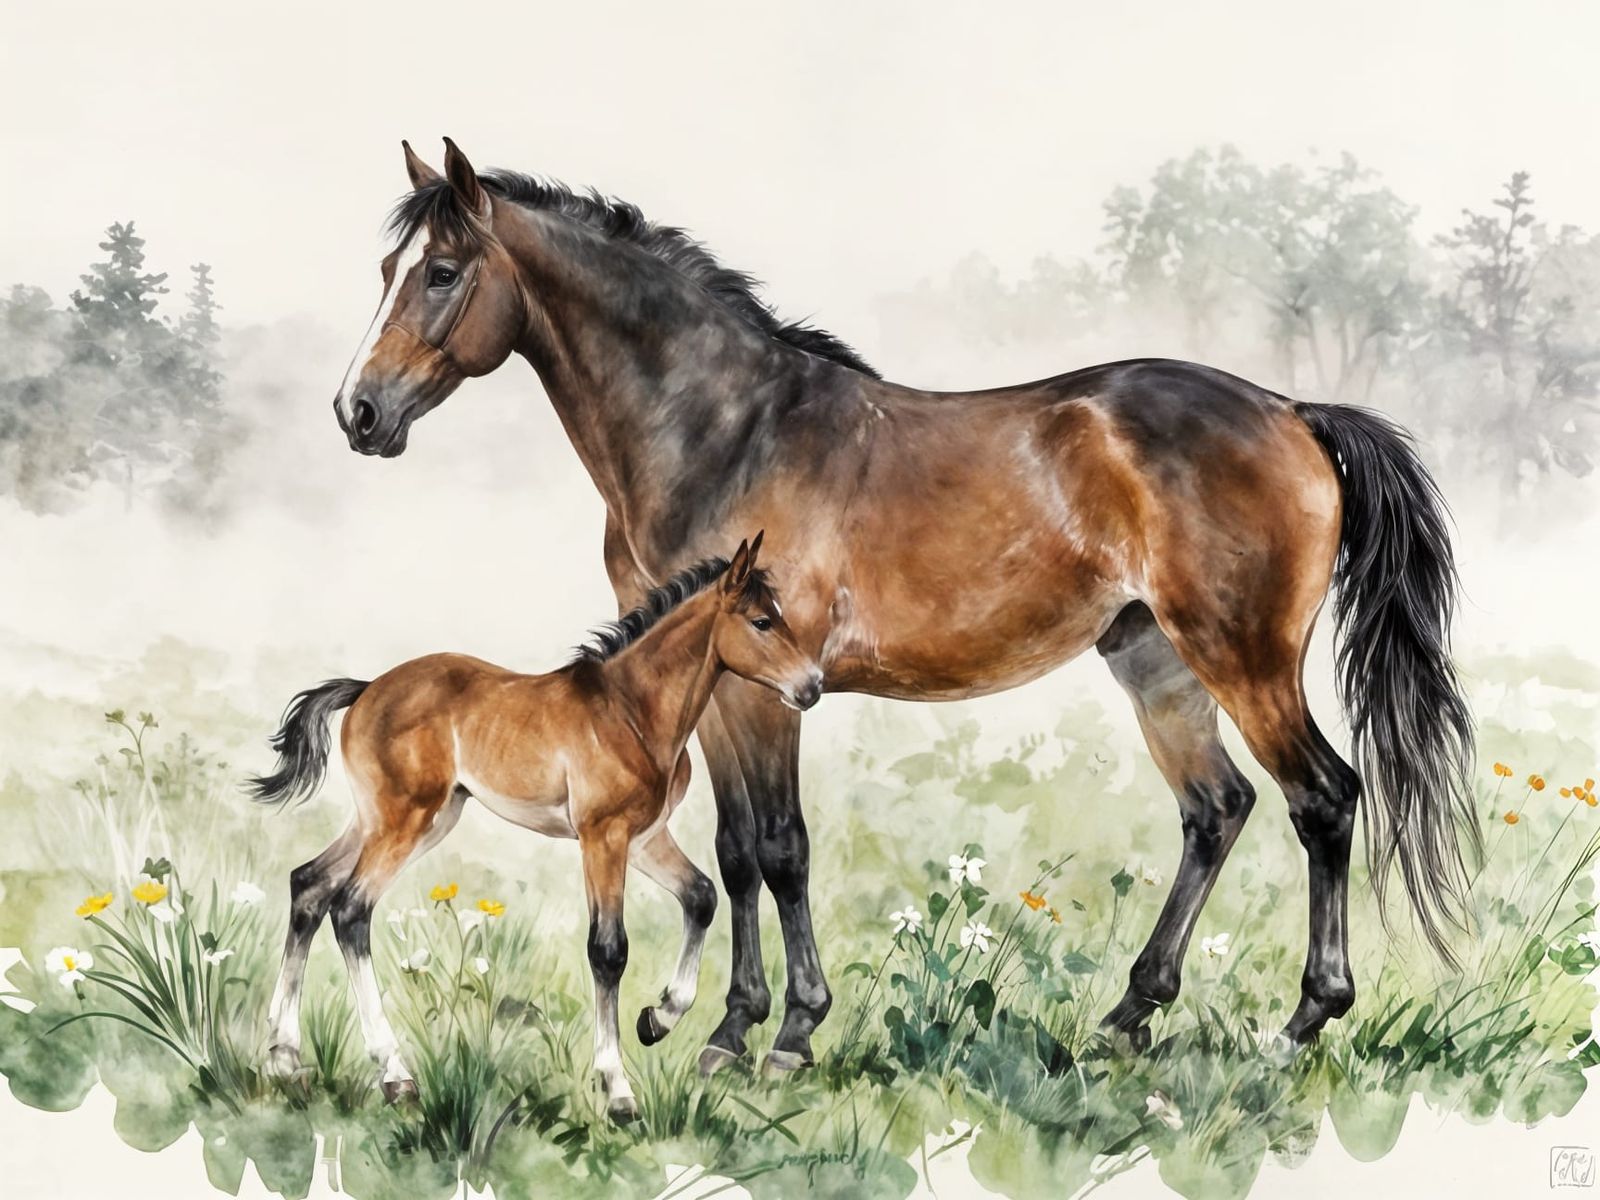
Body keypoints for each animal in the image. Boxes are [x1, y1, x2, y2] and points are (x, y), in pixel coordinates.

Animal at [248, 536, 821, 1120]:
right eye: (761, 622)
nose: (812, 685)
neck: (631, 711)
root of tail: (365, 689)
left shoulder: (644, 838)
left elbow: (701, 896)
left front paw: (657, 1019)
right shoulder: (601, 837)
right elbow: (608, 951)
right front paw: (617, 1090)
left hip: (402, 819)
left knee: (309, 885)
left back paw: (284, 1057)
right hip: (403, 820)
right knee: (350, 909)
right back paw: (394, 1074)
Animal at [327, 138, 1476, 1071]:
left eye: (440, 271)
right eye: (383, 269)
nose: (359, 412)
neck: (727, 431)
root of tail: (1291, 411)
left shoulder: (766, 686)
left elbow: (779, 847)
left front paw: (787, 1034)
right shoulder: (709, 684)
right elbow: (737, 852)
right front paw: (731, 1028)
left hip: (1242, 657)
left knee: (1322, 799)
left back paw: (1298, 1024)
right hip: (1154, 661)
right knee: (1217, 809)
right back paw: (1128, 1016)